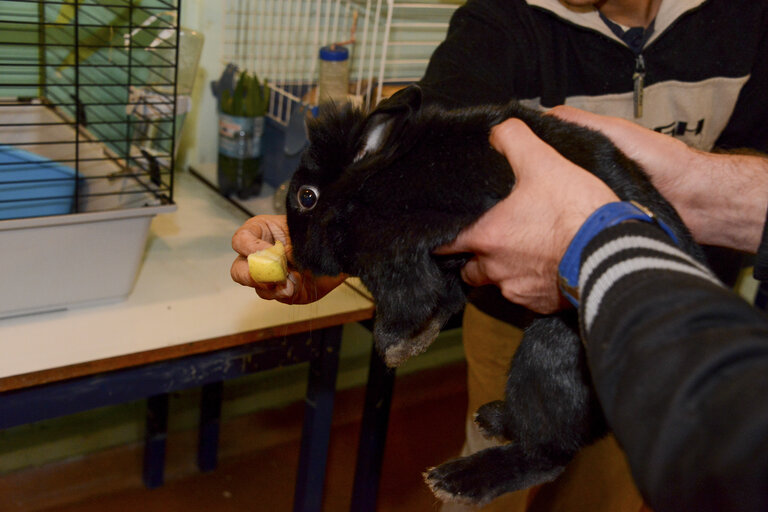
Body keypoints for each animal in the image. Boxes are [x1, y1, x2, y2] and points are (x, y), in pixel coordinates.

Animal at [284, 84, 704, 504]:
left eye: (307, 197)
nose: (296, 258)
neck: (372, 180)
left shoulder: (411, 241)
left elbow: (409, 292)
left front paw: (393, 345)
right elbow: (445, 297)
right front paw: (414, 342)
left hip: (548, 353)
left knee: (549, 455)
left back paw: (458, 480)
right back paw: (494, 419)